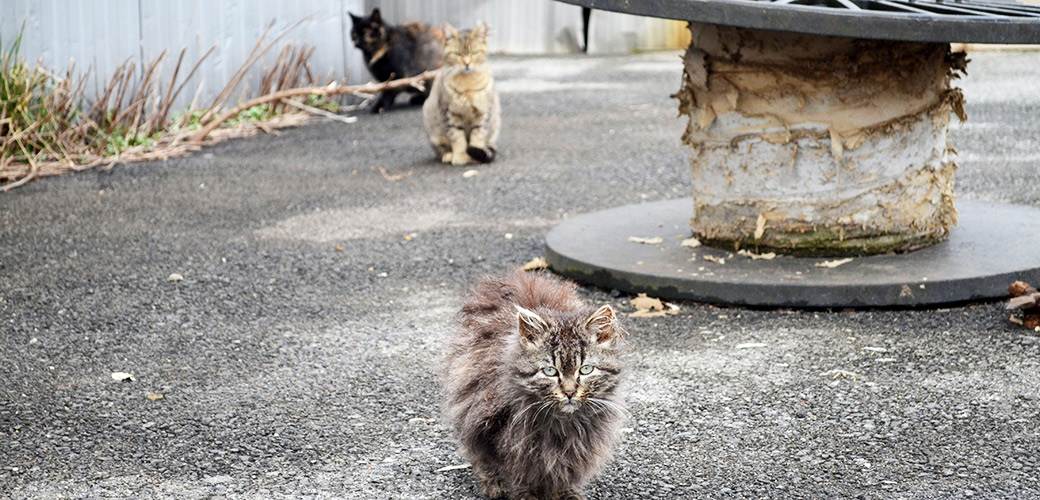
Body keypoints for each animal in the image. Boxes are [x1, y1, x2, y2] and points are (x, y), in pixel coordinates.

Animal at [424, 23, 501, 165]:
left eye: (474, 53)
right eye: (457, 54)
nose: (466, 63)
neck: (467, 86)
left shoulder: (483, 112)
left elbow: (478, 135)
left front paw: (475, 154)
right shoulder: (449, 113)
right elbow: (457, 137)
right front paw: (460, 156)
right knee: (441, 150)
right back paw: (448, 155)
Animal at [445, 272, 624, 498]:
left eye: (585, 370)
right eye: (550, 371)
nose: (569, 392)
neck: (562, 424)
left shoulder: (577, 446)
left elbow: (564, 471)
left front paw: (566, 493)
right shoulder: (504, 436)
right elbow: (516, 473)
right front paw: (524, 493)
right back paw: (493, 485)